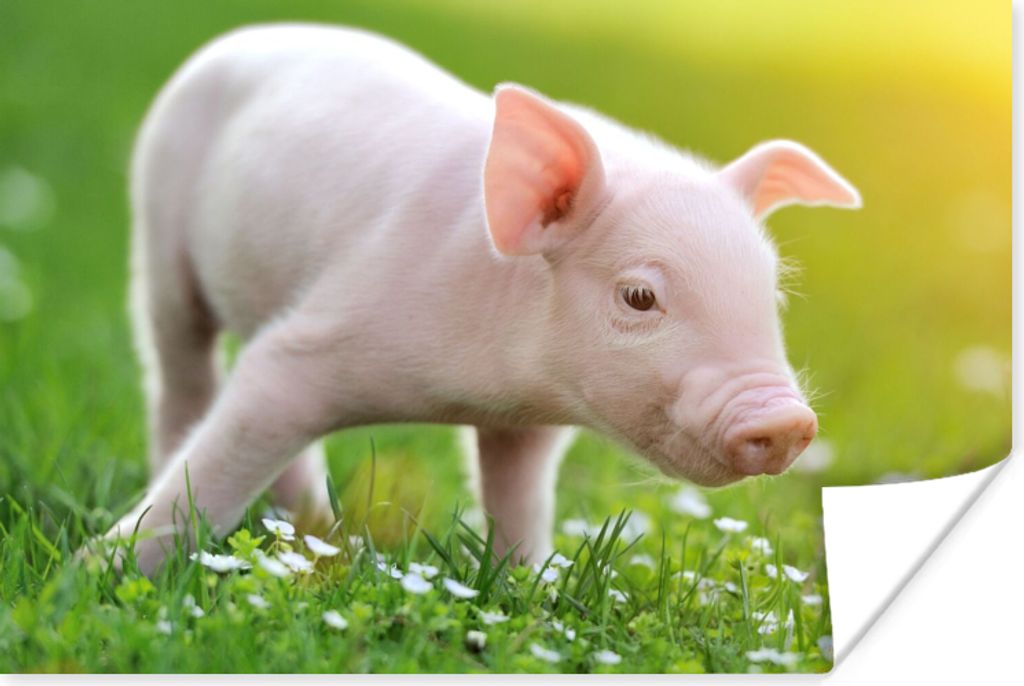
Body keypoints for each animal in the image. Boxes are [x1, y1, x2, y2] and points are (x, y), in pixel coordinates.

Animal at [101, 24, 860, 573]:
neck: (480, 390)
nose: (786, 419)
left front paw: (524, 587)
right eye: (641, 296)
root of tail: (239, 37)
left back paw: (317, 530)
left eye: (771, 294)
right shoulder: (318, 336)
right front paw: (100, 575)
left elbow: (517, 498)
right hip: (157, 231)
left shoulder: (527, 427)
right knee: (180, 370)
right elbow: (228, 445)